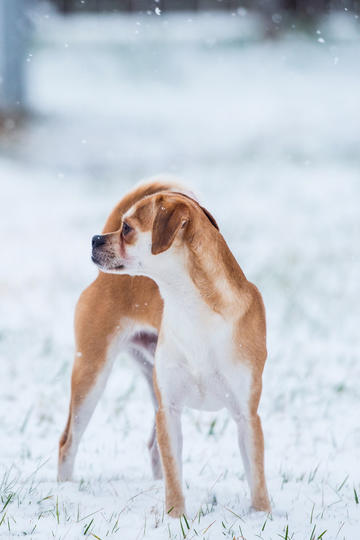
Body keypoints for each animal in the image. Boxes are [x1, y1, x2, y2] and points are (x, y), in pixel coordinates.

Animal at [89, 187, 270, 520]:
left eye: (127, 228)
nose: (95, 238)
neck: (193, 308)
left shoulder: (246, 415)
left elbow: (257, 475)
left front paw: (262, 515)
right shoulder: (169, 410)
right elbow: (173, 472)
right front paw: (176, 518)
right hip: (92, 372)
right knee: (66, 443)